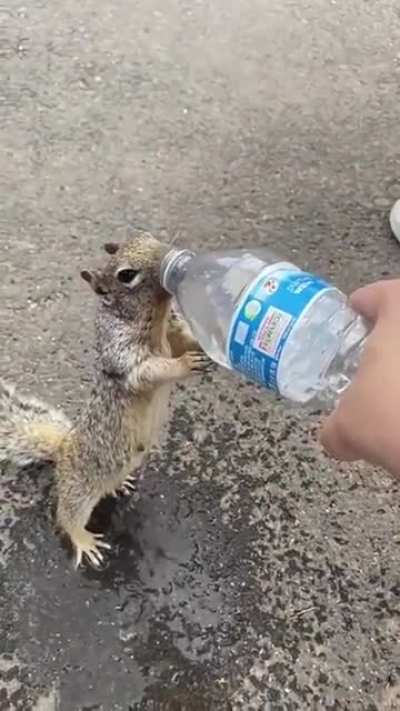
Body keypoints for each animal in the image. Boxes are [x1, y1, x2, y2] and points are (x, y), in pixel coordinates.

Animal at [0, 231, 210, 568]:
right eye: (126, 275)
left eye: (146, 235)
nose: (170, 253)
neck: (157, 319)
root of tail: (63, 450)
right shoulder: (123, 354)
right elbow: (150, 371)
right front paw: (185, 364)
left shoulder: (173, 331)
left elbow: (183, 340)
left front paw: (206, 348)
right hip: (80, 487)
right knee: (67, 515)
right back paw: (84, 541)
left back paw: (120, 484)